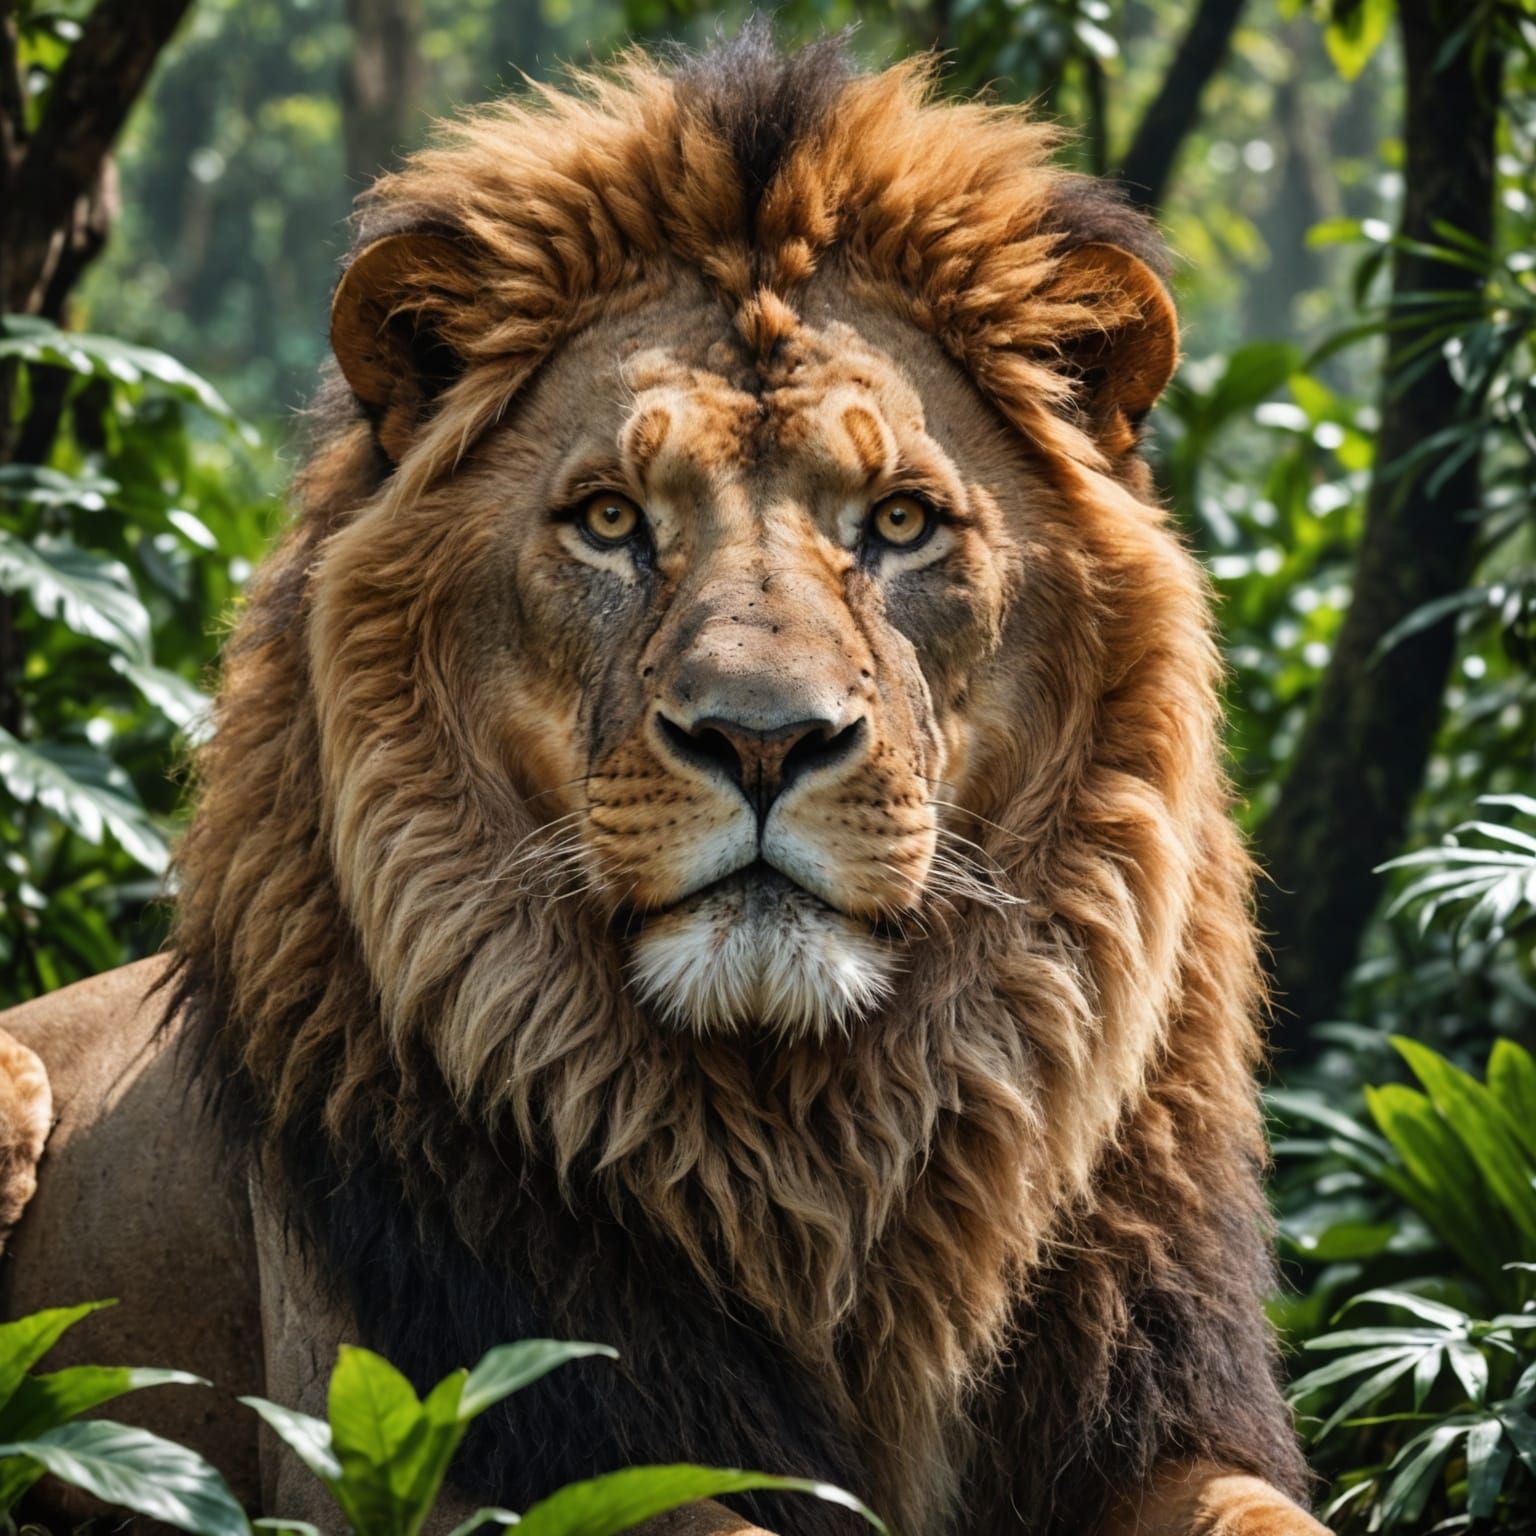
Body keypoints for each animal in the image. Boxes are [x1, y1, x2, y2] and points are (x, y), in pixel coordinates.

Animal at [0, 31, 1328, 1536]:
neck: (802, 1145)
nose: (761, 742)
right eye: (610, 521)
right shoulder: (448, 1442)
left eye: (901, 521)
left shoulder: (1156, 1420)